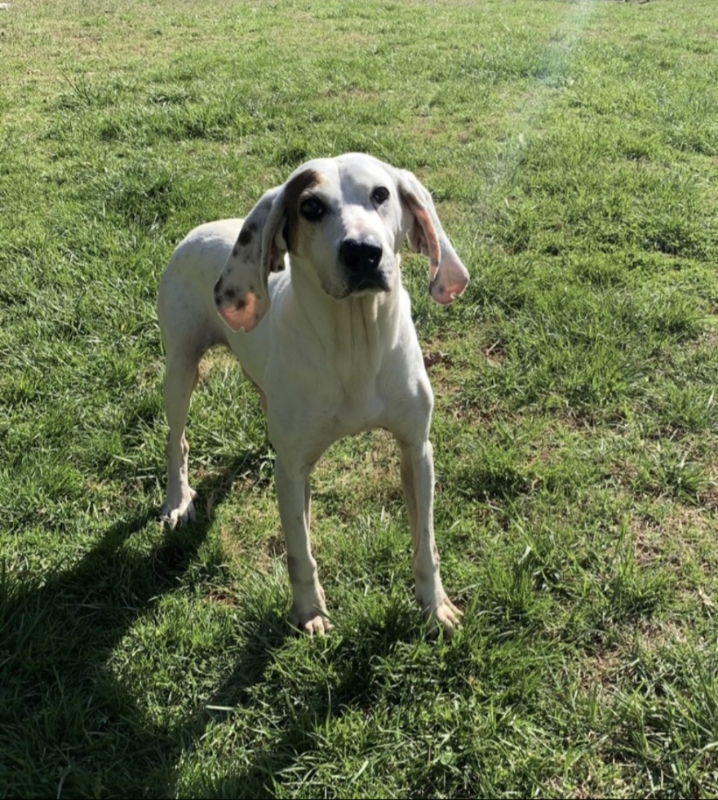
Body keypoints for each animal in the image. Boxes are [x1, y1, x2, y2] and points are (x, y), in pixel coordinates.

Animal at [158, 152, 472, 636]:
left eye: (381, 194)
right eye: (310, 207)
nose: (363, 251)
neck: (355, 347)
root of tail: (198, 229)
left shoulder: (417, 449)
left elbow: (426, 542)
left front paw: (435, 607)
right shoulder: (291, 470)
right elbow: (300, 551)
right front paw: (311, 613)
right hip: (180, 369)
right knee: (178, 439)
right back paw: (178, 500)